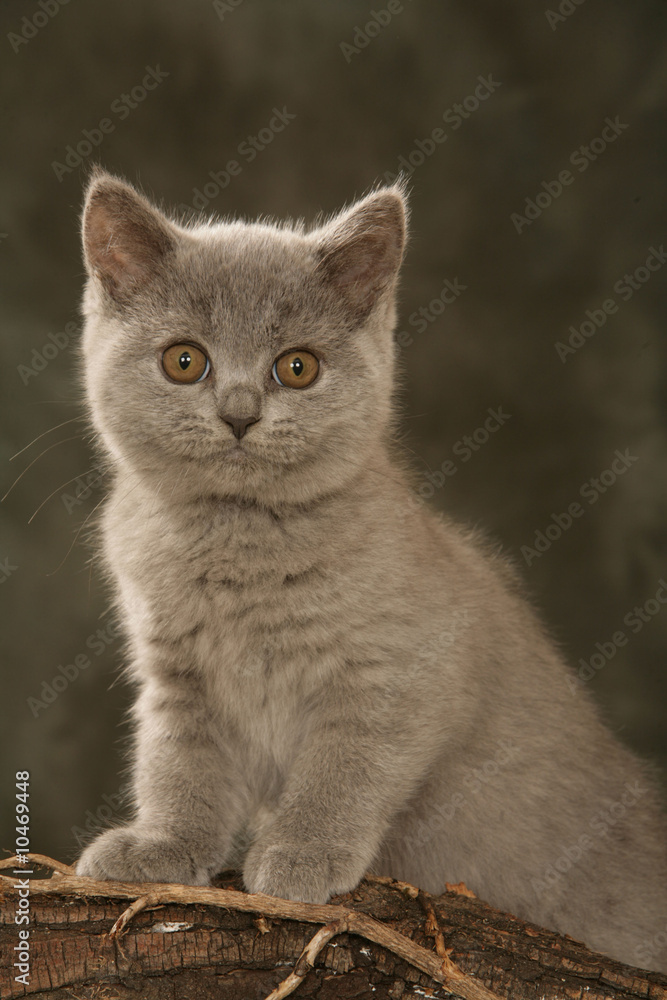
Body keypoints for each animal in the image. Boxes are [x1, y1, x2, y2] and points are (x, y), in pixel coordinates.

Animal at [77, 168, 667, 972]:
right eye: (184, 360)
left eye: (297, 367)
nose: (239, 413)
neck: (238, 544)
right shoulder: (178, 679)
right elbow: (178, 766)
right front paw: (161, 848)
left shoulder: (400, 673)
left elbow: (345, 766)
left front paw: (301, 853)